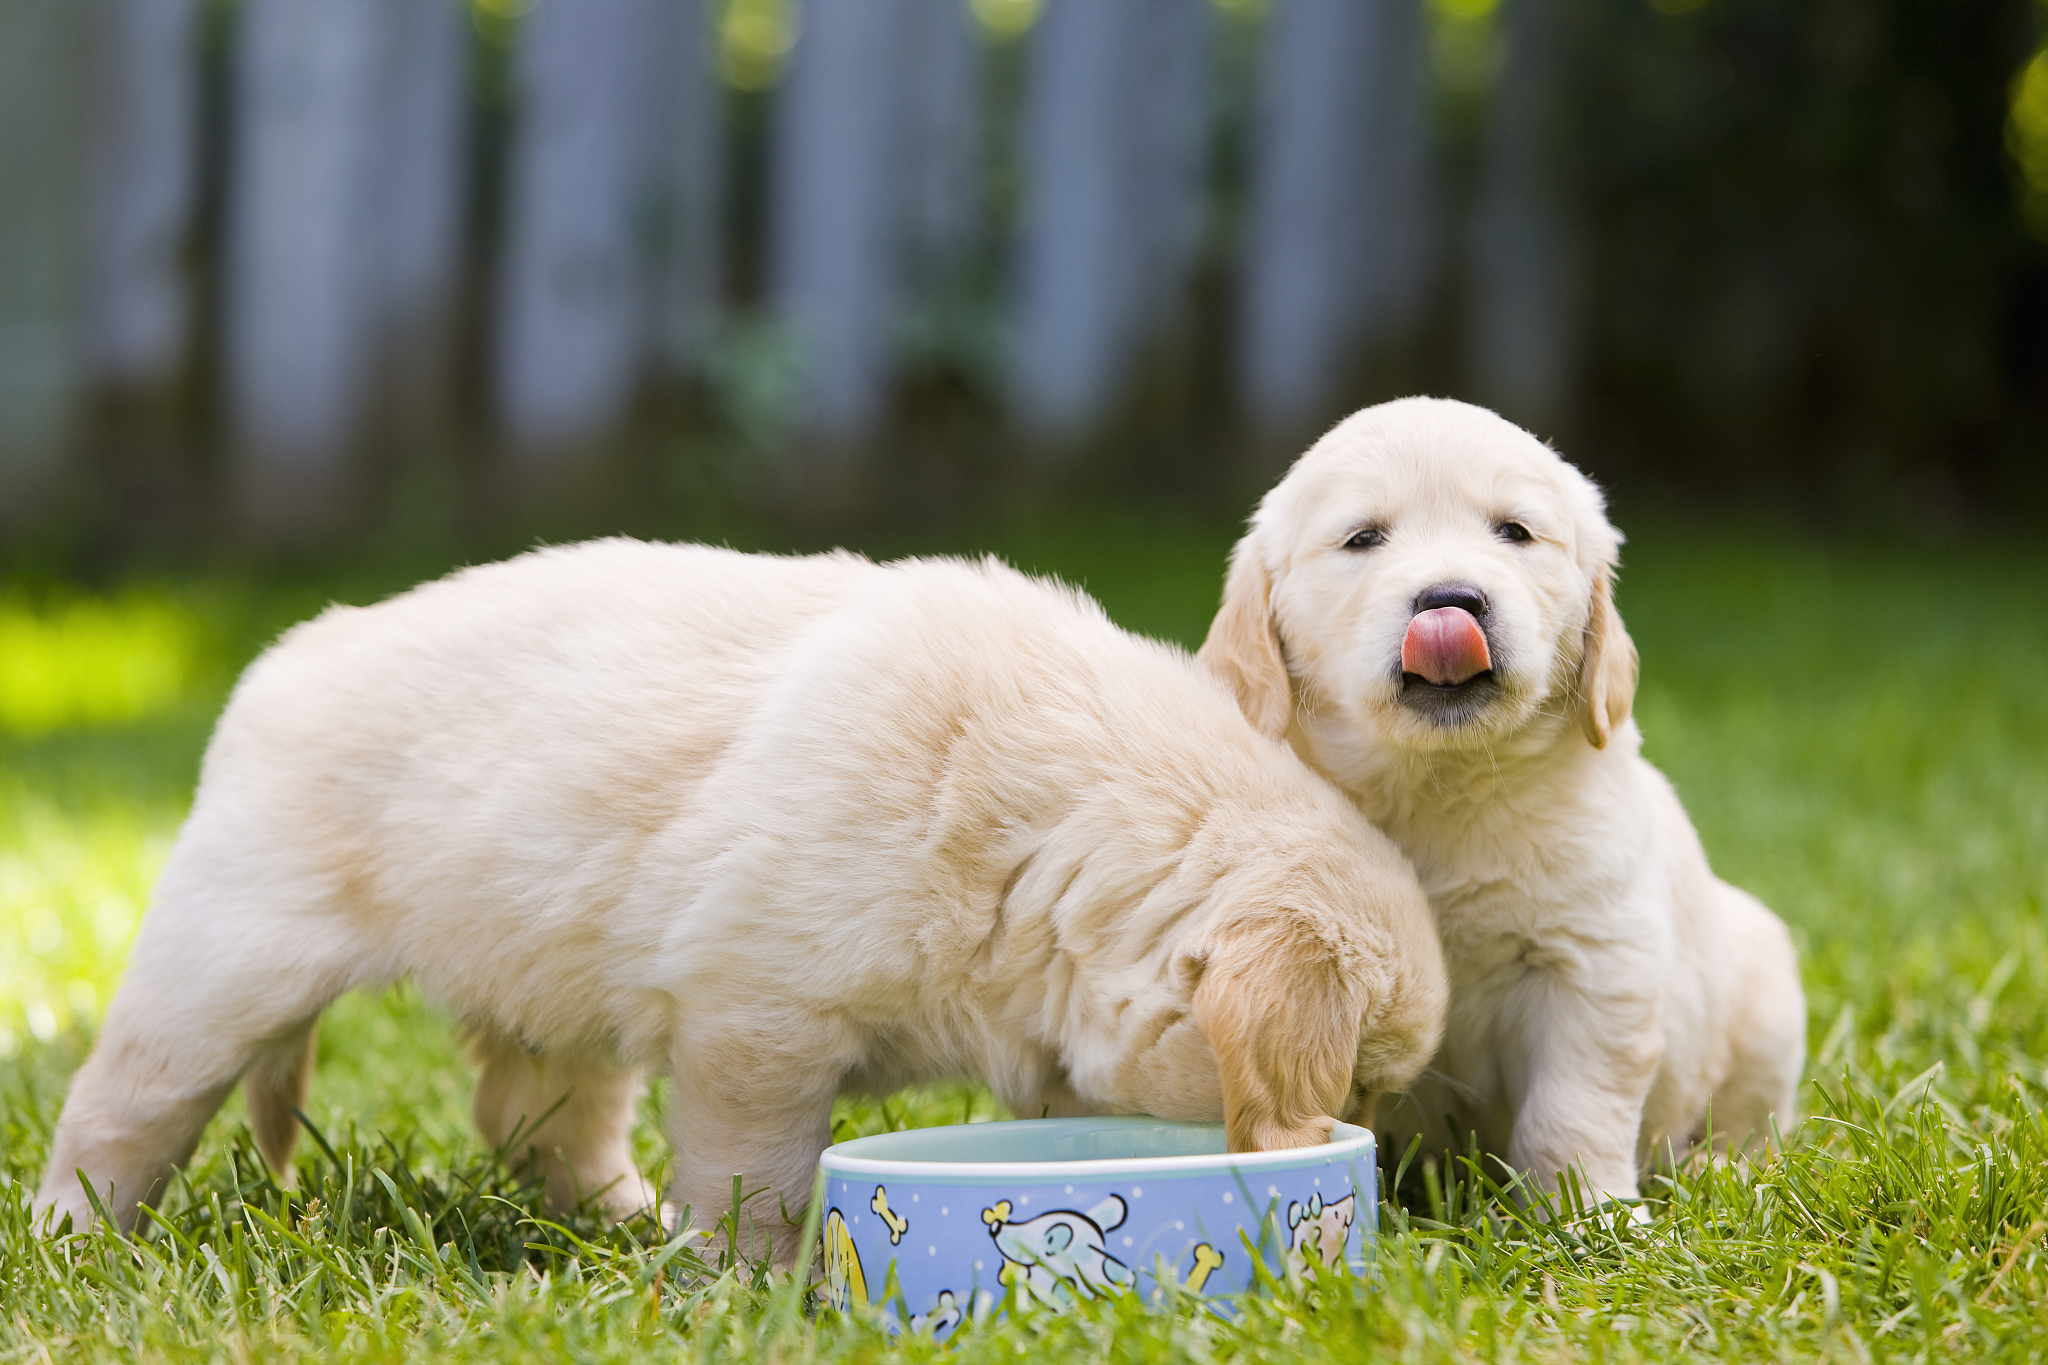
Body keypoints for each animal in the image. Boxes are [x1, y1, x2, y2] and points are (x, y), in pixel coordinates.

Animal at [36, 536, 1441, 1260]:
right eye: (1358, 1085)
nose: (1384, 1164)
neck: (1052, 827)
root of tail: (288, 655)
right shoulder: (755, 1023)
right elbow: (756, 1172)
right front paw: (754, 1284)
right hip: (233, 954)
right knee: (121, 1101)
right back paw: (74, 1233)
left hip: (557, 980)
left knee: (533, 1116)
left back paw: (619, 1221)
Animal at [1196, 401, 1810, 1211]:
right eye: (1363, 538)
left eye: (1514, 532)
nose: (1450, 600)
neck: (1437, 786)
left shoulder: (1593, 963)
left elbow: (1572, 1109)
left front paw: (1590, 1215)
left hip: (1766, 989)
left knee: (1747, 1123)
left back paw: (1725, 1172)